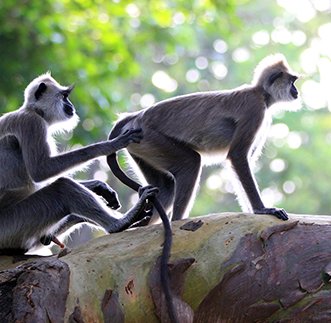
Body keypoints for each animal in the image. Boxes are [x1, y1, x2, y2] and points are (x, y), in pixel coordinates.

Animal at [0, 74, 158, 256]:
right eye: (64, 97)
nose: (71, 106)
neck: (33, 111)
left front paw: (98, 186)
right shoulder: (31, 123)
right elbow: (41, 170)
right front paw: (109, 145)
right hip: (11, 226)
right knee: (62, 188)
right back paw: (120, 223)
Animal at [107, 54, 300, 224]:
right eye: (292, 81)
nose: (296, 91)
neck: (260, 93)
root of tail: (137, 115)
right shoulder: (255, 108)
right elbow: (237, 156)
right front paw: (263, 210)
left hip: (141, 145)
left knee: (167, 188)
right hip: (151, 138)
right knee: (191, 163)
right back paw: (177, 221)